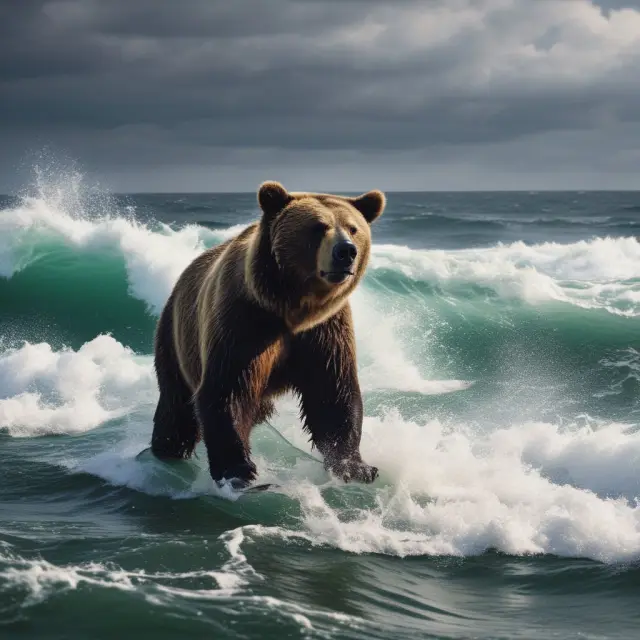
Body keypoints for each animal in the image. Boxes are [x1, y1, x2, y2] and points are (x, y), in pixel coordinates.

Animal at [149, 180, 386, 488]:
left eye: (353, 227)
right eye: (318, 226)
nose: (346, 251)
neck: (292, 307)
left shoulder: (325, 330)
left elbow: (332, 393)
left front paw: (354, 466)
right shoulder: (245, 320)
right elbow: (227, 389)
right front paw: (239, 469)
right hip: (175, 337)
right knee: (176, 406)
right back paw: (166, 449)